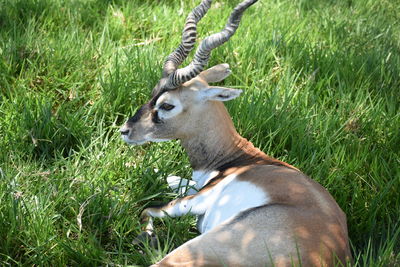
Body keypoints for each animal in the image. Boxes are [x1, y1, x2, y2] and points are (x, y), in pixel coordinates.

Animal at [120, 0, 352, 266]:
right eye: (153, 93)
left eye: (167, 105)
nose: (125, 130)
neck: (239, 158)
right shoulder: (196, 184)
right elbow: (169, 177)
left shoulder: (198, 198)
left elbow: (148, 209)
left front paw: (147, 236)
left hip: (198, 245)